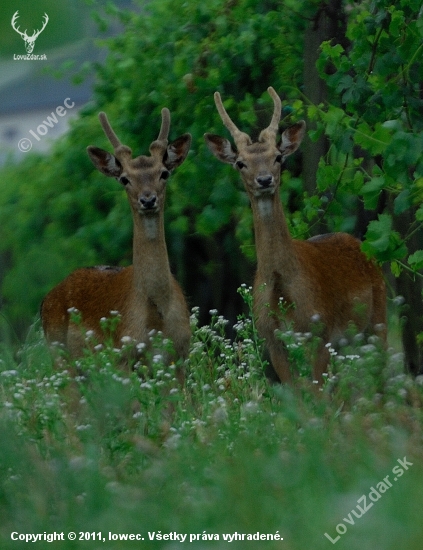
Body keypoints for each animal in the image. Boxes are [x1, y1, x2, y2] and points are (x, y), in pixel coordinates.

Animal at [40, 106, 193, 380]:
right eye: (124, 179)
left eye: (164, 173)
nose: (148, 200)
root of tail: (45, 300)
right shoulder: (123, 359)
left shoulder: (181, 356)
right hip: (61, 360)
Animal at [205, 88, 388, 386]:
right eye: (240, 163)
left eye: (278, 157)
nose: (264, 180)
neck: (283, 291)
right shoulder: (272, 340)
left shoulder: (320, 332)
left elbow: (315, 392)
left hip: (377, 320)